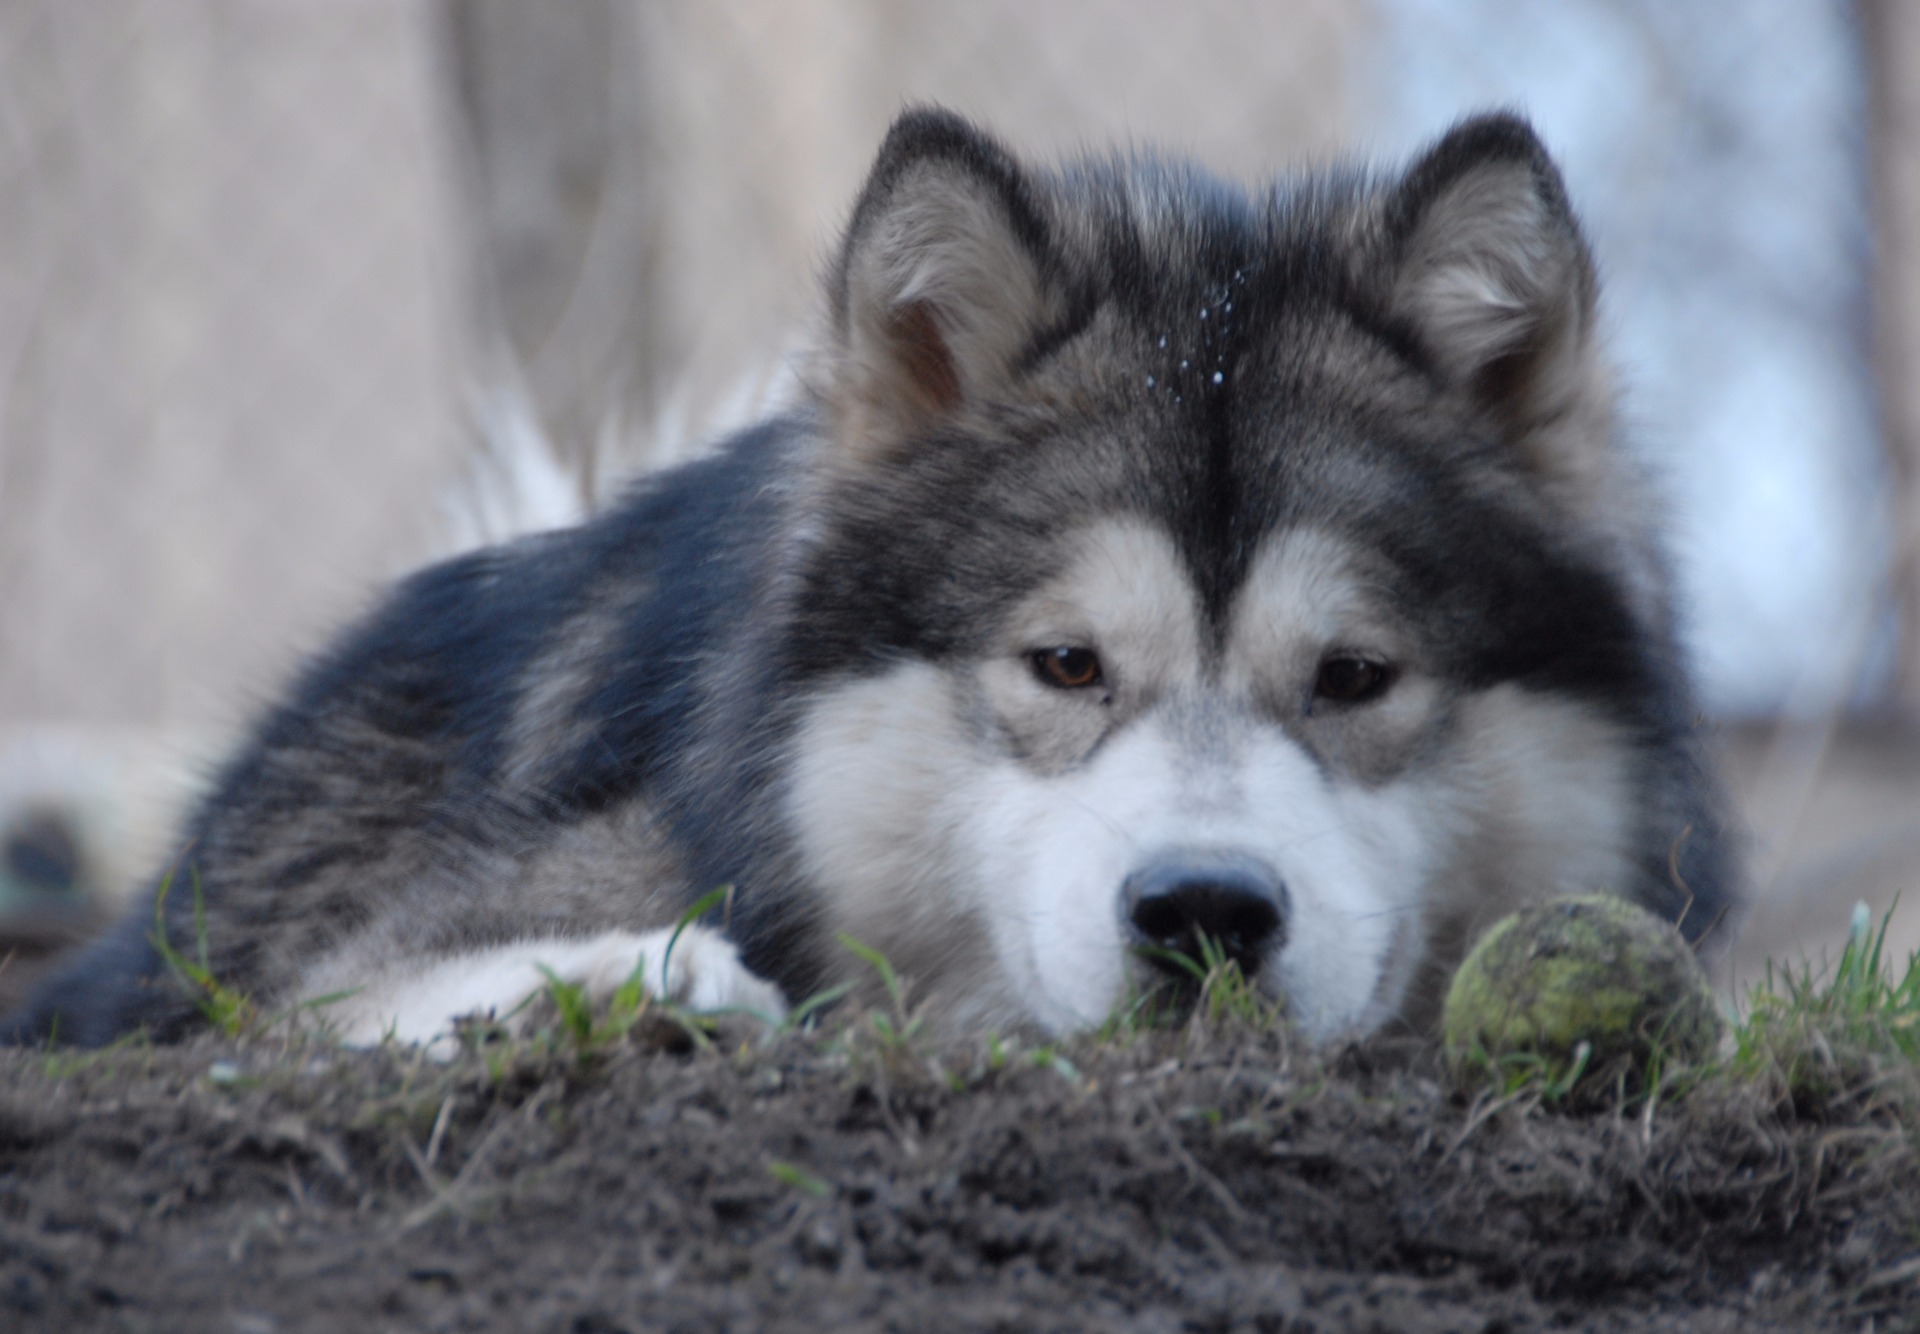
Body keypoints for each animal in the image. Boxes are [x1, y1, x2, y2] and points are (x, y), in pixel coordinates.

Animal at [3, 109, 1743, 1051]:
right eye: (1066, 664)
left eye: (1356, 677)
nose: (1203, 911)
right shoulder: (307, 965)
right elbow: (327, 998)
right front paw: (627, 978)